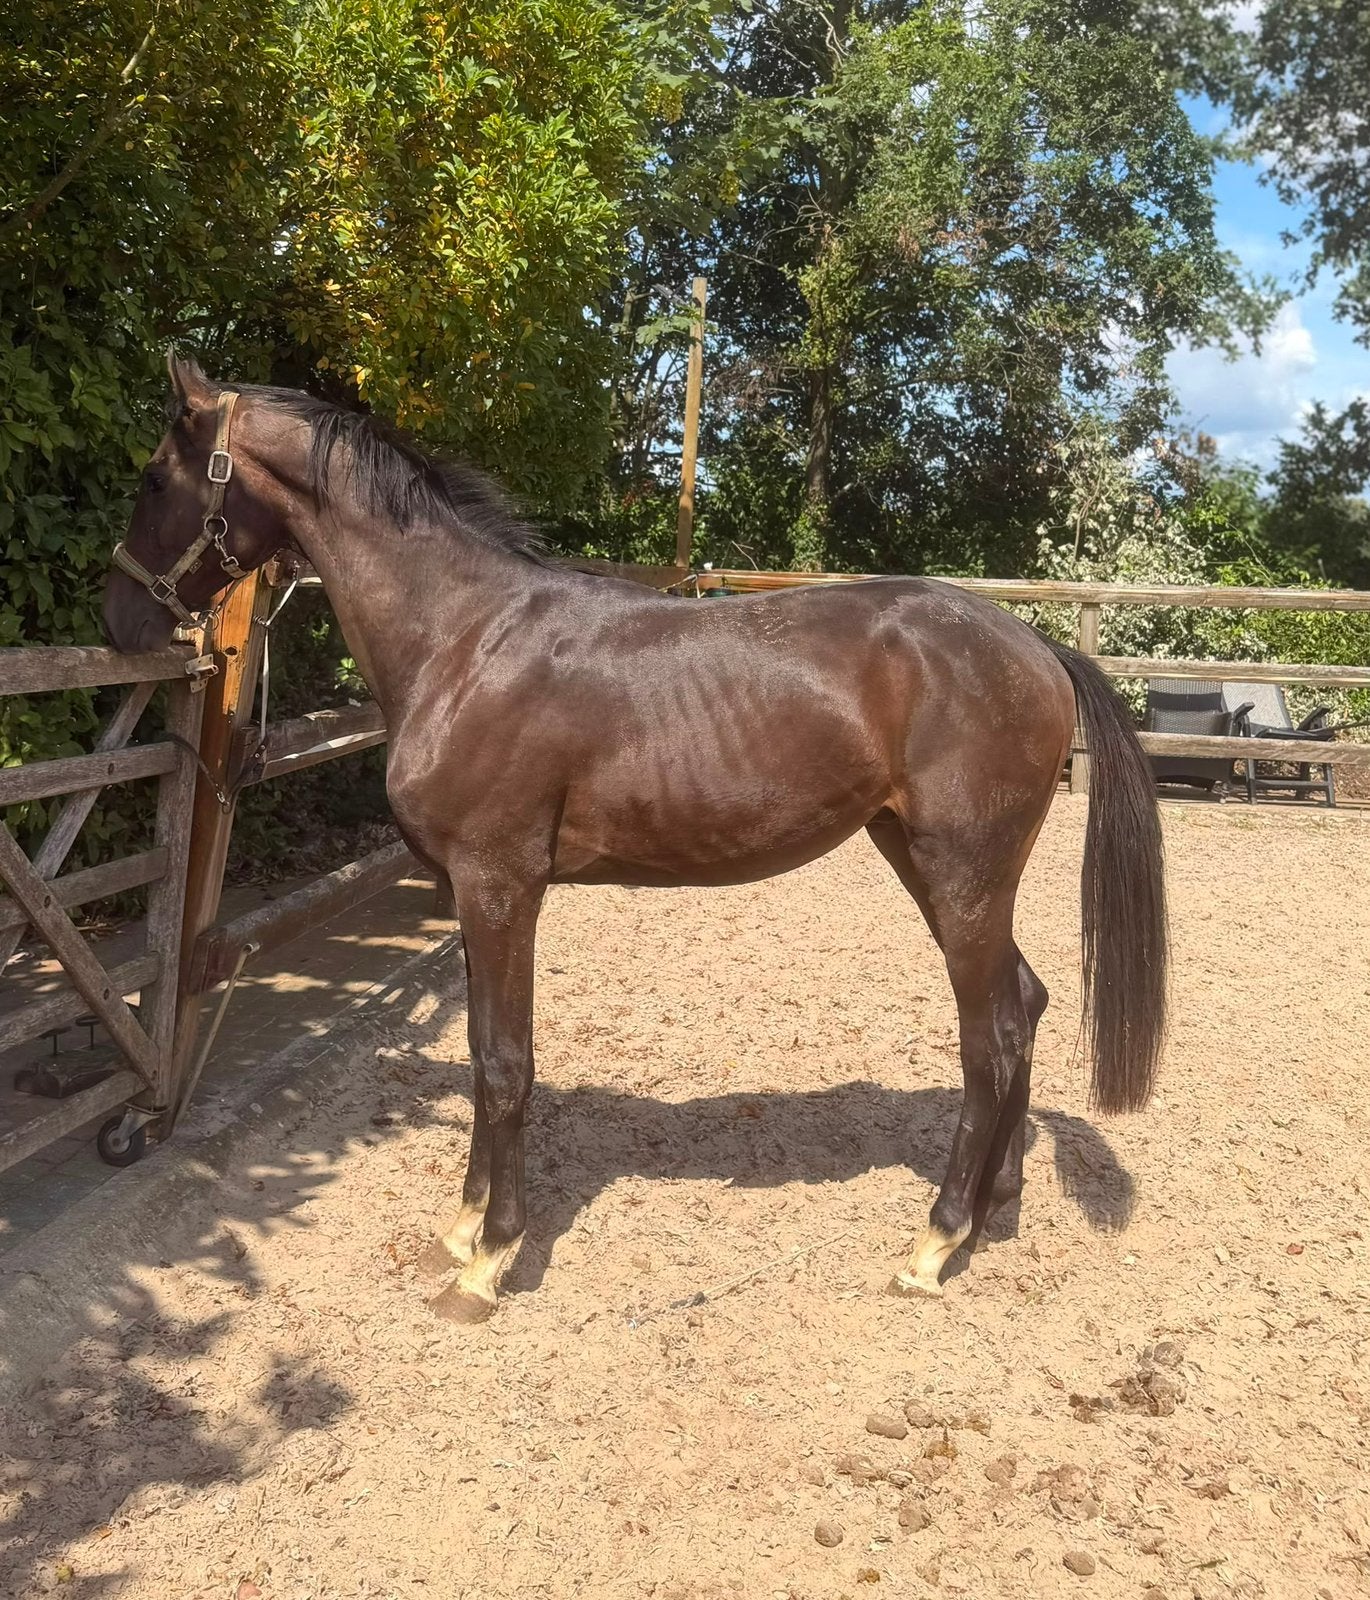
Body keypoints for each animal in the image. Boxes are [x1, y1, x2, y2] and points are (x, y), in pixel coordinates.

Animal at [102, 354, 1167, 1325]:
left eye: (155, 477)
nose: (121, 622)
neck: (466, 640)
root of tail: (1036, 648)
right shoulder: (475, 897)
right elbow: (490, 1053)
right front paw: (466, 1226)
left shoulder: (499, 887)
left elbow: (506, 1062)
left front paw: (490, 1261)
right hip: (923, 861)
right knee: (1023, 1004)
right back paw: (995, 1209)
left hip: (961, 873)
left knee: (991, 1038)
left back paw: (935, 1243)